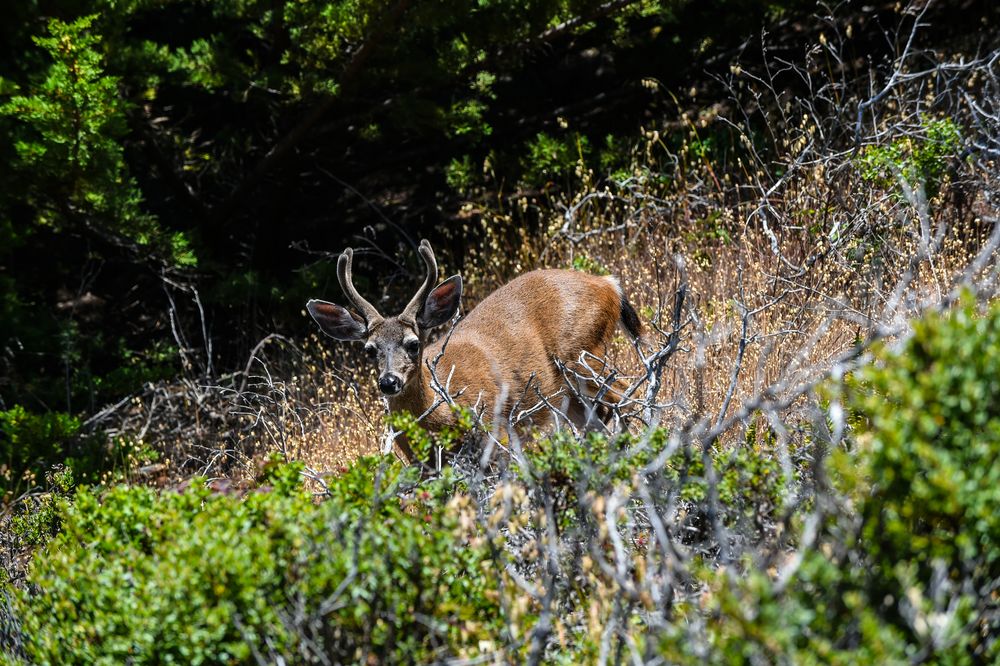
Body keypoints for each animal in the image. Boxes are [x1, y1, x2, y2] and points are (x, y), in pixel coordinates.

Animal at [308, 239, 644, 462]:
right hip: (569, 392)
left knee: (631, 394)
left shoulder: (497, 431)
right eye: (369, 349)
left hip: (583, 355)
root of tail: (608, 284)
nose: (389, 382)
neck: (441, 412)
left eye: (414, 344)